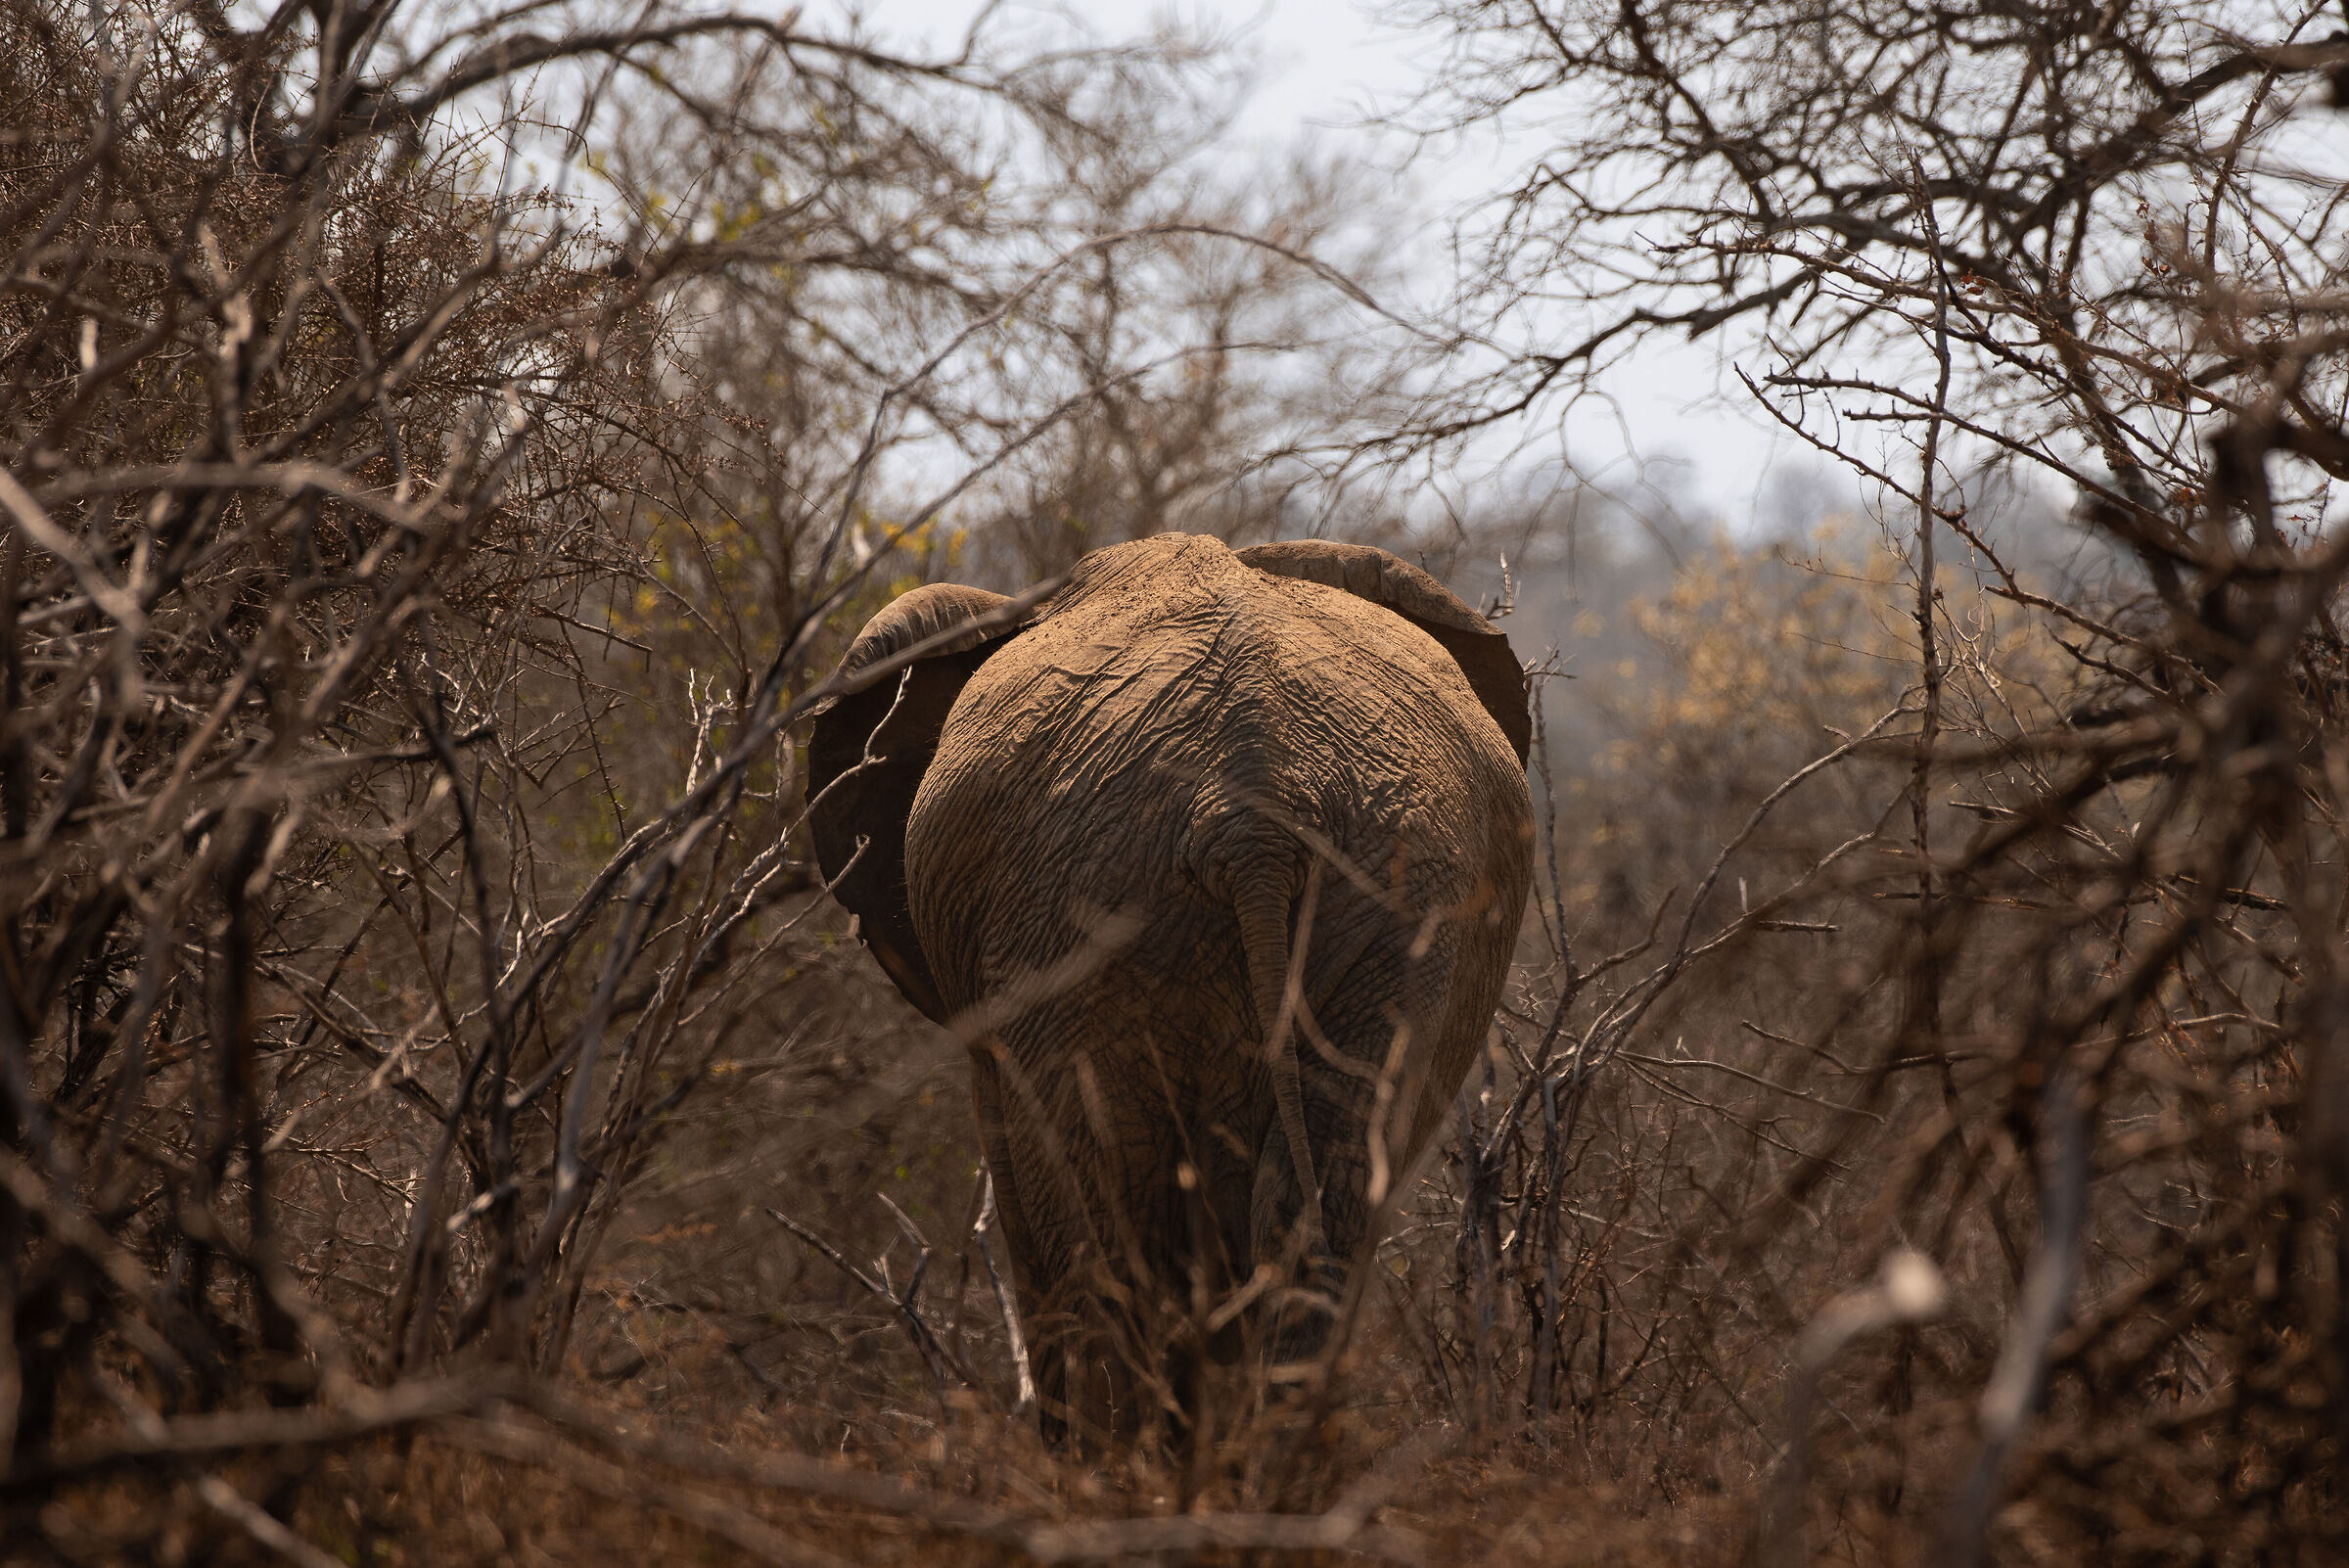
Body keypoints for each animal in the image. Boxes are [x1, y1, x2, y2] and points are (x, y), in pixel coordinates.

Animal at [805, 532, 1533, 1443]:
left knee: (1105, 1218)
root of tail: (1253, 817)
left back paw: (1118, 1471)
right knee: (1315, 1201)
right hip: (1398, 905)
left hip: (1080, 909)